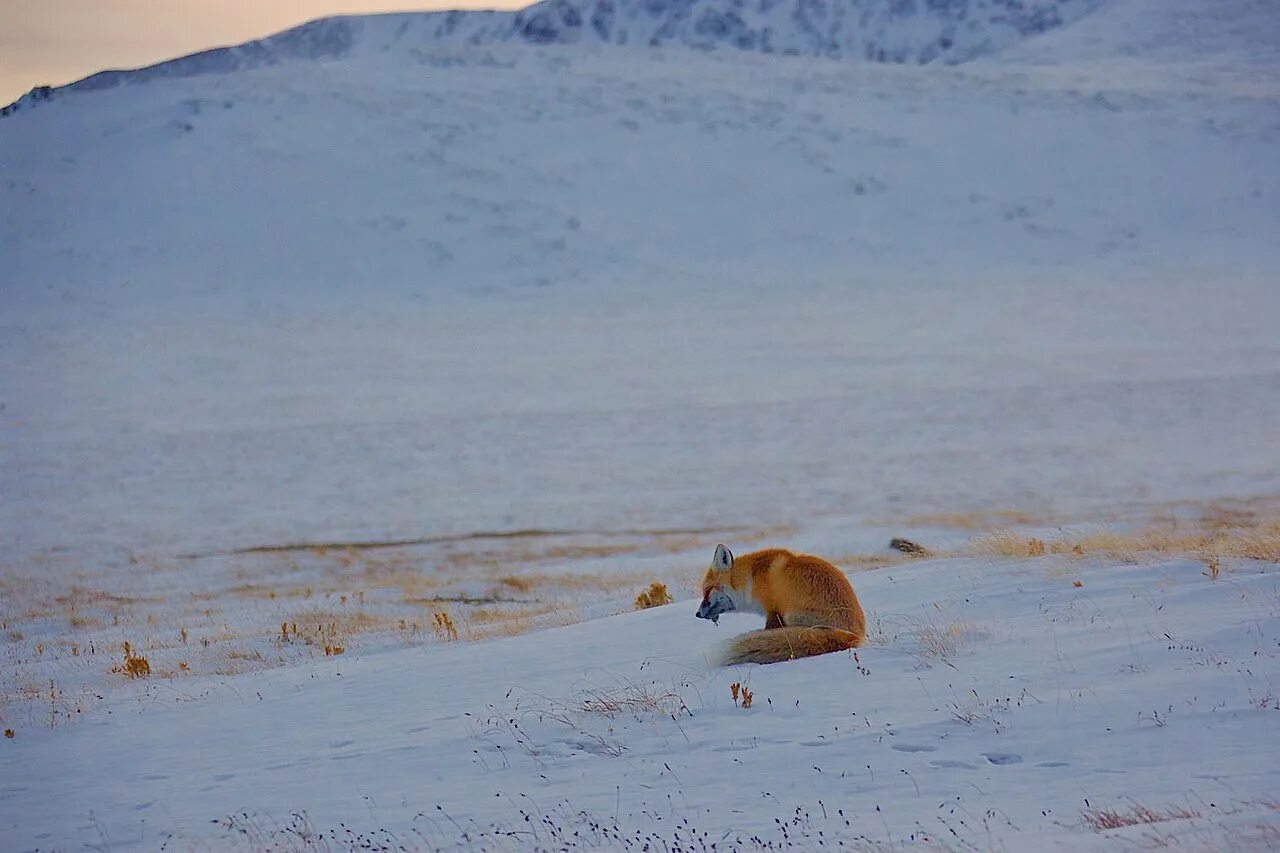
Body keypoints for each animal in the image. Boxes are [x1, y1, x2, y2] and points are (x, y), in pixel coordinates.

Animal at [696, 545, 865, 666]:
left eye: (707, 590)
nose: (697, 614)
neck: (752, 579)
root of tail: (854, 636)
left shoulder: (773, 611)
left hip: (792, 616)